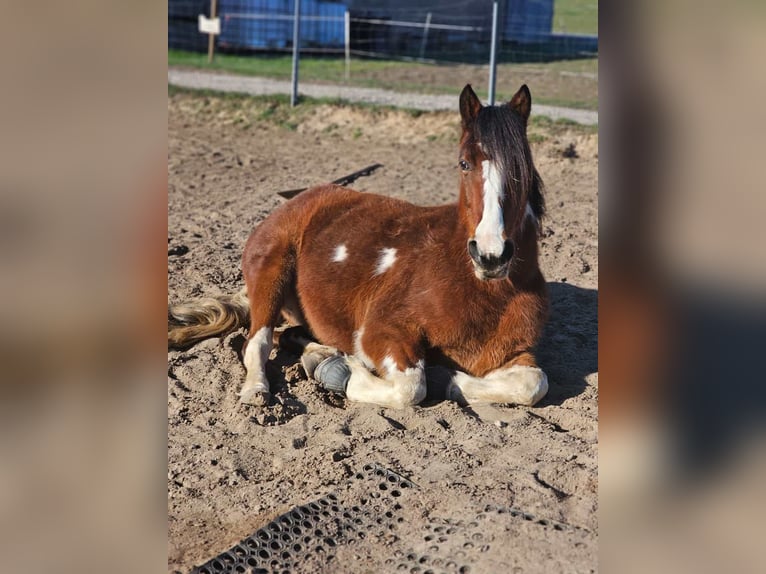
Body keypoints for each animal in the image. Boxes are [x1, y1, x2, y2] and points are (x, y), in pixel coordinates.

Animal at [169, 84, 552, 410]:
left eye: (523, 167)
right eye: (464, 163)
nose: (491, 255)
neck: (476, 288)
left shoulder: (515, 352)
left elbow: (533, 383)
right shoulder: (382, 332)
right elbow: (411, 387)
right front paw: (349, 371)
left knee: (288, 335)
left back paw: (319, 356)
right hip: (270, 275)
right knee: (257, 344)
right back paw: (260, 388)